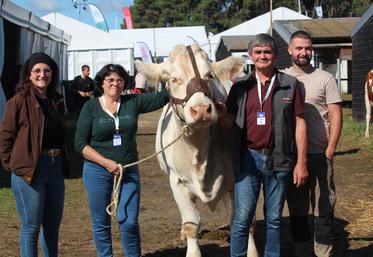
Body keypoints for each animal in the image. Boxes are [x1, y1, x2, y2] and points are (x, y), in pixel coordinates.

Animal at [135, 44, 258, 256]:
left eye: (209, 76)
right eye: (174, 79)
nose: (201, 109)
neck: (199, 151)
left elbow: (244, 221)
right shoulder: (176, 181)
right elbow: (191, 224)